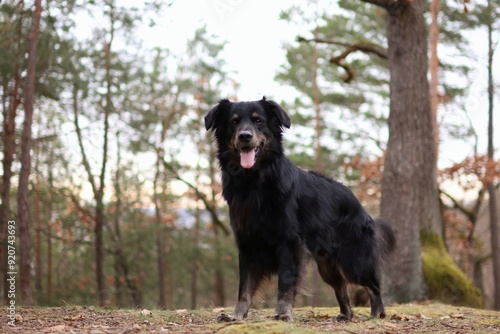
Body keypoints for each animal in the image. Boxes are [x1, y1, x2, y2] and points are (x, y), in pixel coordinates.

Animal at [205, 96, 396, 320]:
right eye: (234, 122)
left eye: (258, 120)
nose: (245, 136)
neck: (254, 182)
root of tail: (360, 206)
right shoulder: (247, 245)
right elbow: (245, 287)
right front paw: (237, 315)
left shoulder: (288, 244)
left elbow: (285, 283)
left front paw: (282, 313)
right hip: (327, 266)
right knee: (340, 287)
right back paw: (345, 315)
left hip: (353, 260)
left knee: (372, 286)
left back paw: (377, 313)